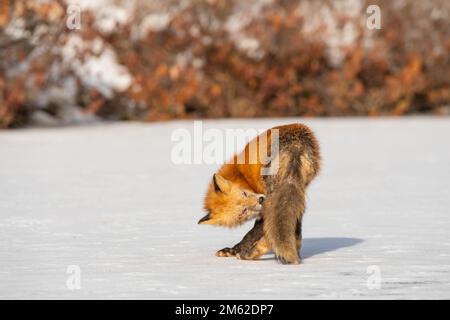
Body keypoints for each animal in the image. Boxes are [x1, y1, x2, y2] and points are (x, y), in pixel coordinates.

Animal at [198, 124, 320, 264]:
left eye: (244, 194)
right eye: (243, 211)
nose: (261, 200)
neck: (242, 174)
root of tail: (295, 143)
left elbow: (254, 232)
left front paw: (235, 250)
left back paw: (249, 253)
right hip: (298, 191)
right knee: (295, 229)